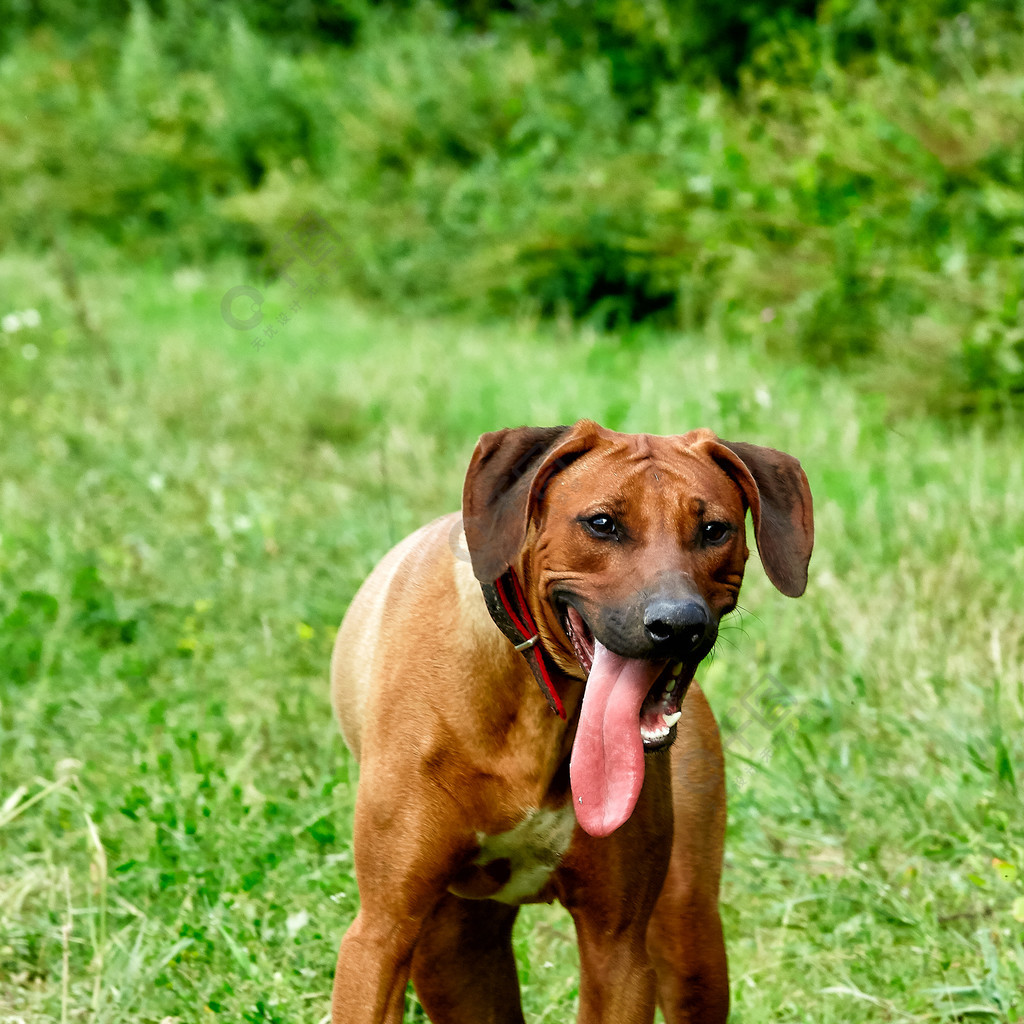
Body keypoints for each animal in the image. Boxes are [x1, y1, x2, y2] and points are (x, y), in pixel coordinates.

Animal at [331, 419, 811, 1019]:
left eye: (713, 529)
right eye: (602, 524)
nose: (678, 624)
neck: (538, 698)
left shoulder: (619, 948)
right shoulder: (380, 934)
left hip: (688, 935)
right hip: (449, 954)